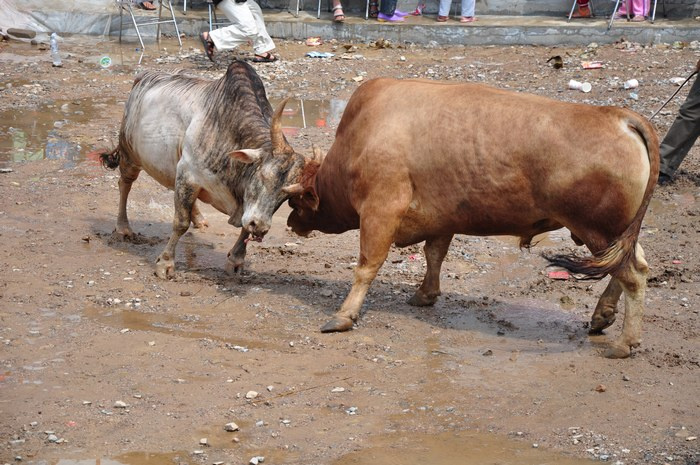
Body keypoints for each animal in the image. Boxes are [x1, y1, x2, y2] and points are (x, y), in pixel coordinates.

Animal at [288, 78, 660, 358]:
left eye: (298, 201)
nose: (292, 222)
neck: (361, 133)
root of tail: (618, 116)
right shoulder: (442, 221)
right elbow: (434, 255)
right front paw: (425, 294)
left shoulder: (381, 210)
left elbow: (367, 265)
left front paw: (343, 315)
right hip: (615, 234)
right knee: (632, 266)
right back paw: (602, 315)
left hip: (597, 230)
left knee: (632, 276)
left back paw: (624, 343)